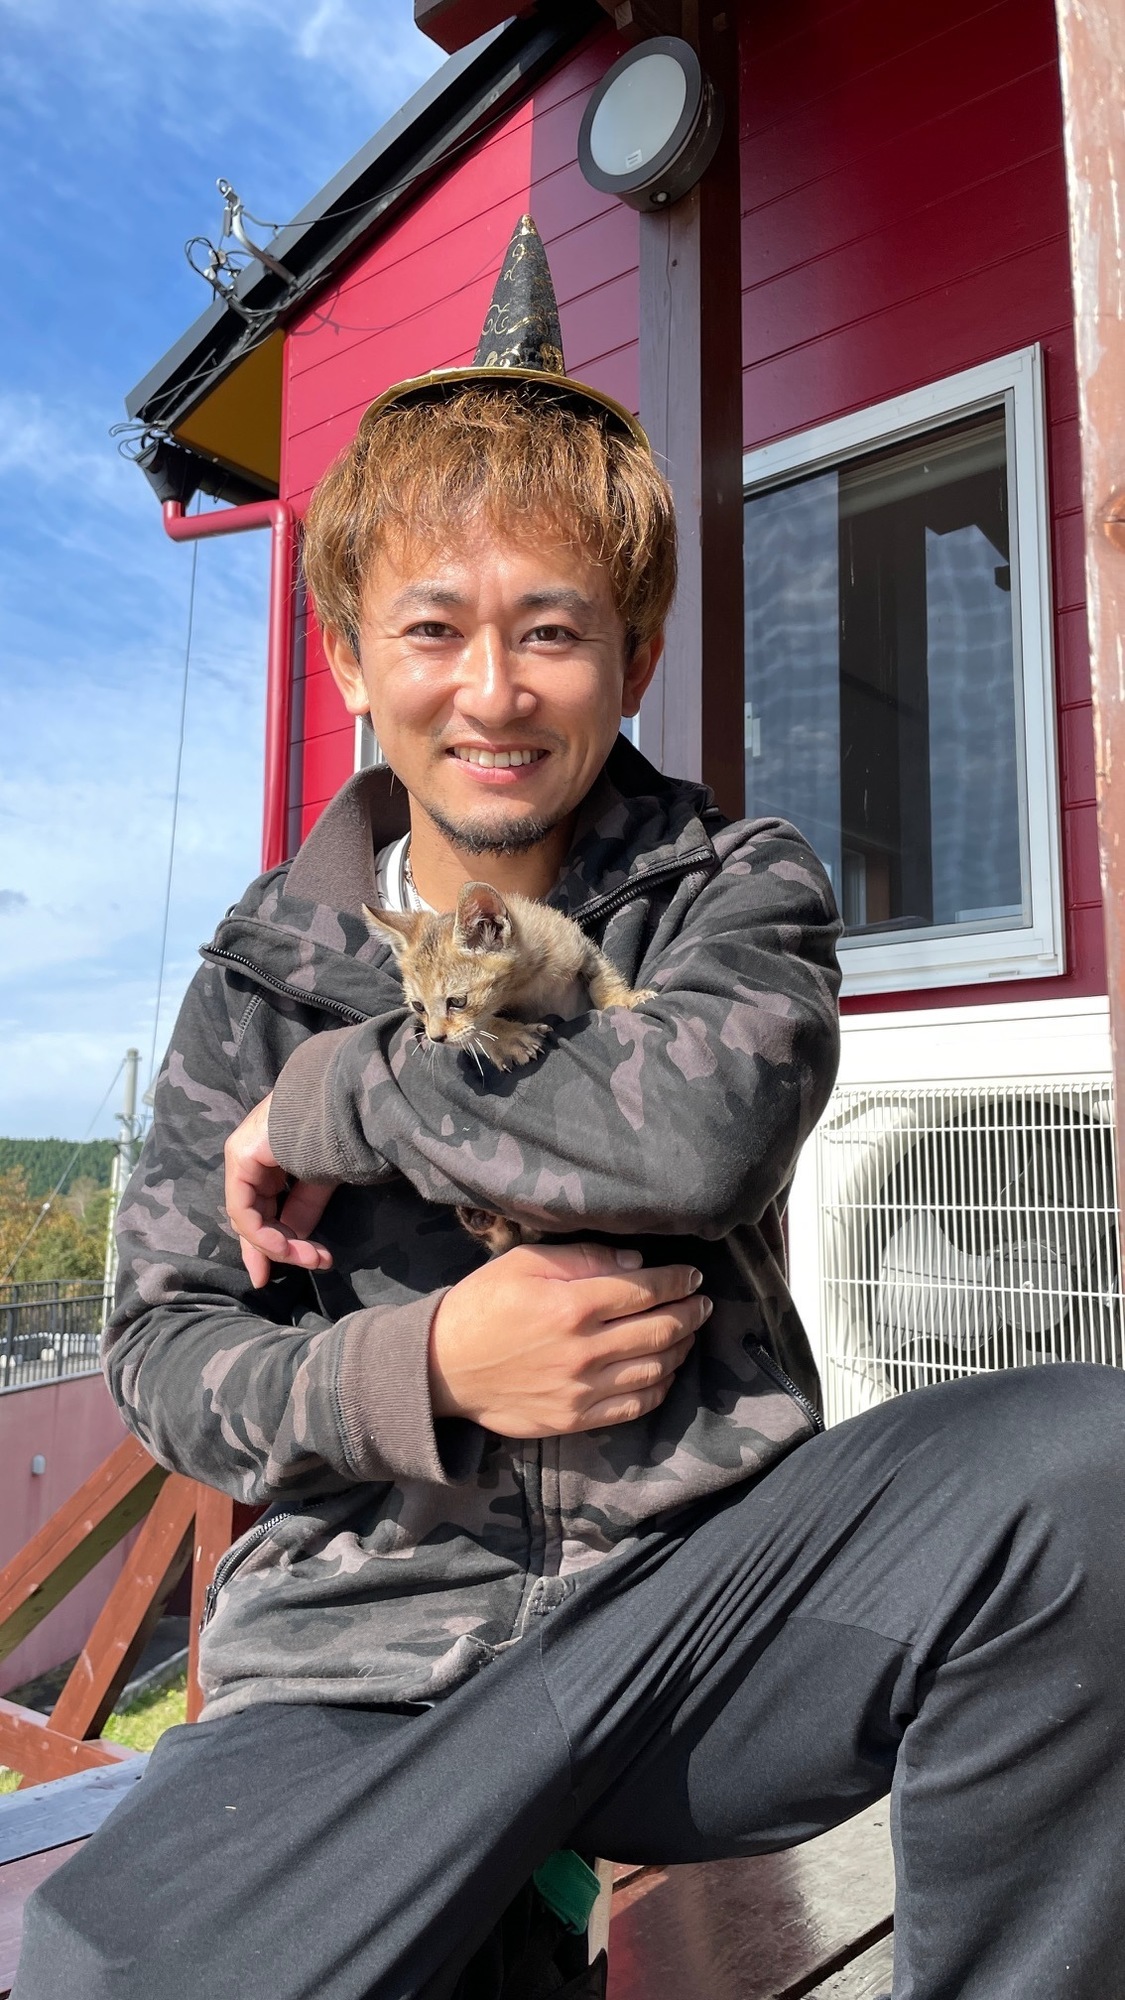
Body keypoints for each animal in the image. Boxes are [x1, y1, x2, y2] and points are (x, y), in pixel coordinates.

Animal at [364, 880, 652, 1248]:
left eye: (457, 1001)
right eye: (418, 1006)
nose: (435, 1037)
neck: (527, 985)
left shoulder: (582, 950)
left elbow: (602, 977)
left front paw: (624, 999)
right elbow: (483, 1028)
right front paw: (511, 1039)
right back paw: (485, 1219)